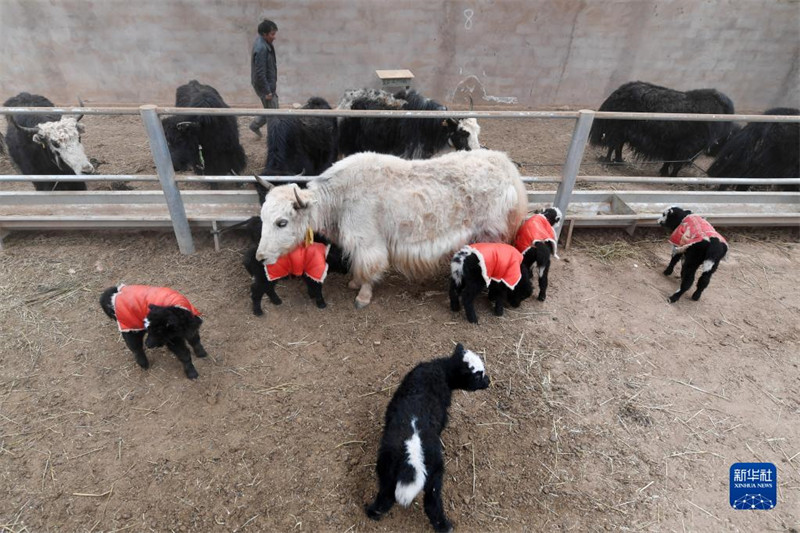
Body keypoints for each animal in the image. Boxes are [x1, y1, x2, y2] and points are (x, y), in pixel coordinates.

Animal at [255, 150, 524, 308]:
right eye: (263, 216)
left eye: (282, 222)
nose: (260, 257)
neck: (339, 198)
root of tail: (507, 168)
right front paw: (354, 283)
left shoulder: (368, 241)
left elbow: (369, 266)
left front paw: (362, 296)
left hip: (491, 232)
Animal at [368, 342, 490, 528]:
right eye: (477, 376)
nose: (488, 382)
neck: (442, 369)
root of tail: (412, 450)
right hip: (435, 472)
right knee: (432, 502)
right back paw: (444, 526)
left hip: (386, 465)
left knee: (386, 495)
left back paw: (372, 512)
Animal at [588, 81, 736, 177]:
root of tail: (619, 92)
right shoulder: (687, 148)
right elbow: (677, 164)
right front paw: (672, 177)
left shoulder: (673, 146)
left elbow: (669, 160)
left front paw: (664, 173)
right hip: (618, 128)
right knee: (613, 144)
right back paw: (607, 161)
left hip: (623, 131)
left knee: (617, 145)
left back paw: (619, 161)